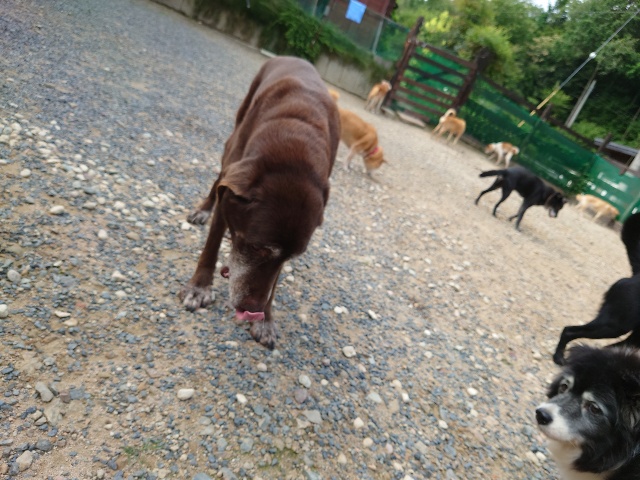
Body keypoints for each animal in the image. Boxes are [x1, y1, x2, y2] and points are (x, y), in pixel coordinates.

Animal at [179, 56, 340, 349]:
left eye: (291, 258)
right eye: (255, 247)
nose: (252, 310)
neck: (295, 141)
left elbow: (273, 283)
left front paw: (266, 319)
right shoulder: (229, 193)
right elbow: (211, 246)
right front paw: (199, 287)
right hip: (232, 142)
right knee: (217, 179)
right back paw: (203, 209)